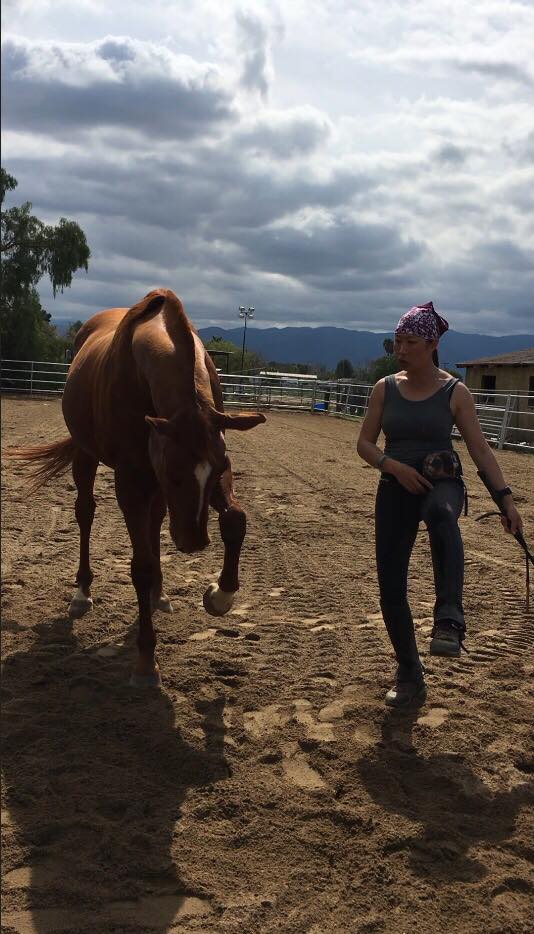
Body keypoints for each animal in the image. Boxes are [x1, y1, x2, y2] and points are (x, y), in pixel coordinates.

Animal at [15, 288, 266, 692]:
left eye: (214, 472)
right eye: (175, 474)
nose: (194, 541)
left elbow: (236, 520)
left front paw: (220, 596)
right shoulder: (132, 480)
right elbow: (142, 565)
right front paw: (147, 661)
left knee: (156, 521)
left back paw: (159, 595)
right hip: (86, 455)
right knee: (85, 513)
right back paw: (82, 593)